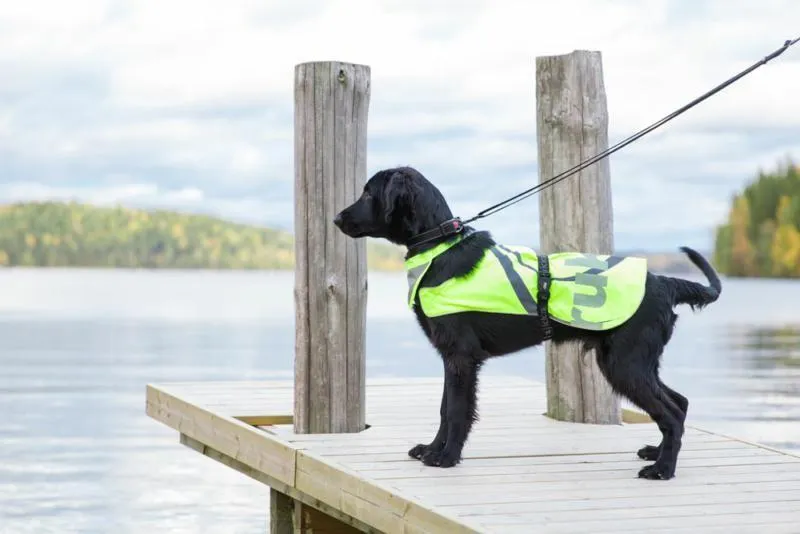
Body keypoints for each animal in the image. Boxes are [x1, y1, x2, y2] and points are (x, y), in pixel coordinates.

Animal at [332, 166, 720, 482]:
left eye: (368, 193)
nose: (336, 219)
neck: (439, 245)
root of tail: (664, 283)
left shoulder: (461, 357)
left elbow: (455, 410)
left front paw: (446, 457)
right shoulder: (451, 358)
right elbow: (444, 408)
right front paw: (432, 449)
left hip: (624, 363)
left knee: (671, 412)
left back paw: (662, 470)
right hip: (638, 363)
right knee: (680, 403)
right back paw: (656, 453)